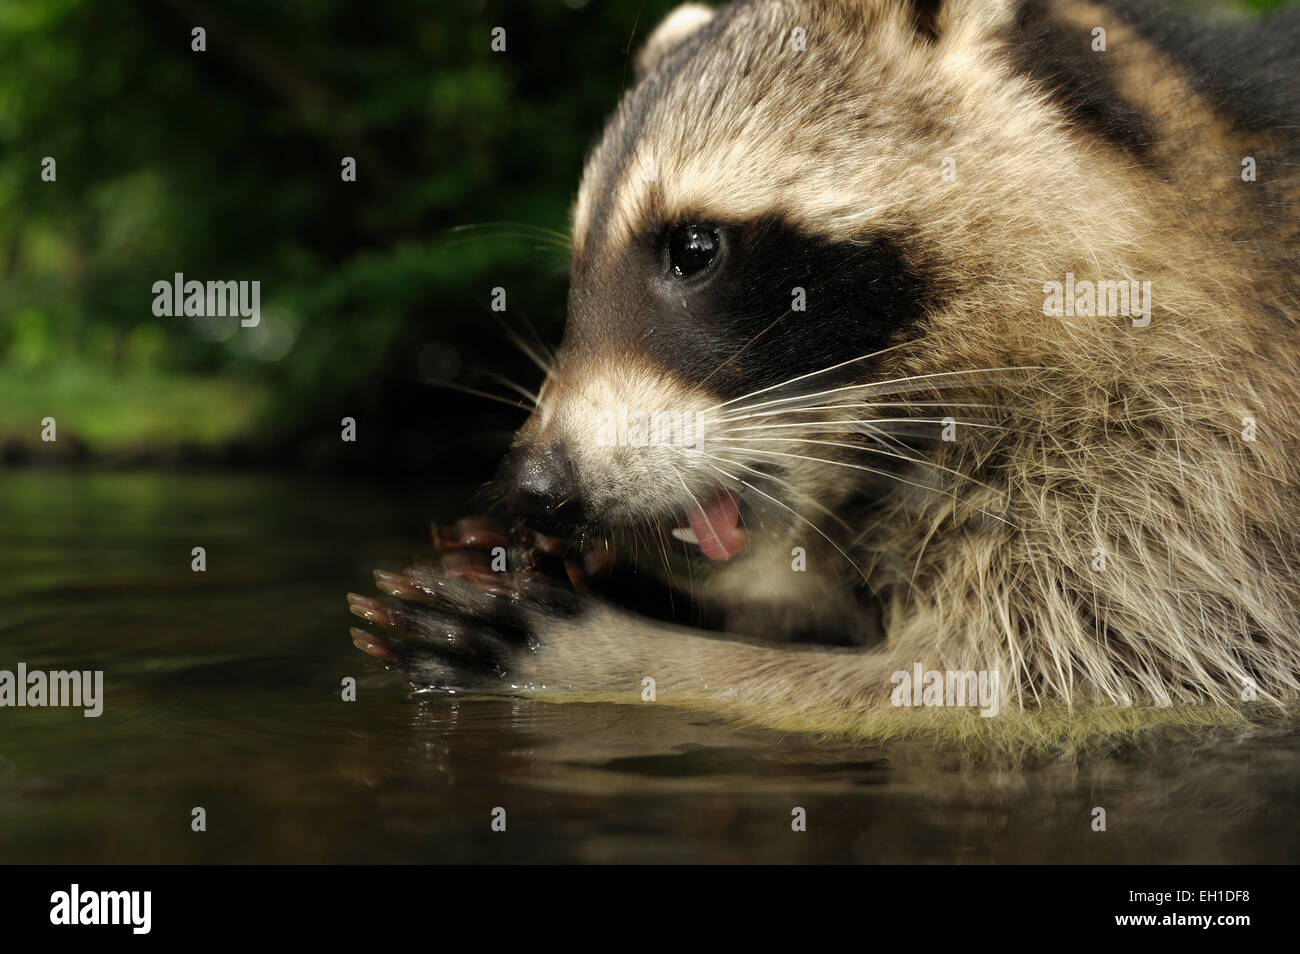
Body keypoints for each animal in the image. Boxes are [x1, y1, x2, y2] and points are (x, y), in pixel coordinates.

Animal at [348, 0, 1300, 748]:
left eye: (695, 248)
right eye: (576, 269)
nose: (536, 485)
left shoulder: (1190, 457)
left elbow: (1012, 684)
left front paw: (621, 655)